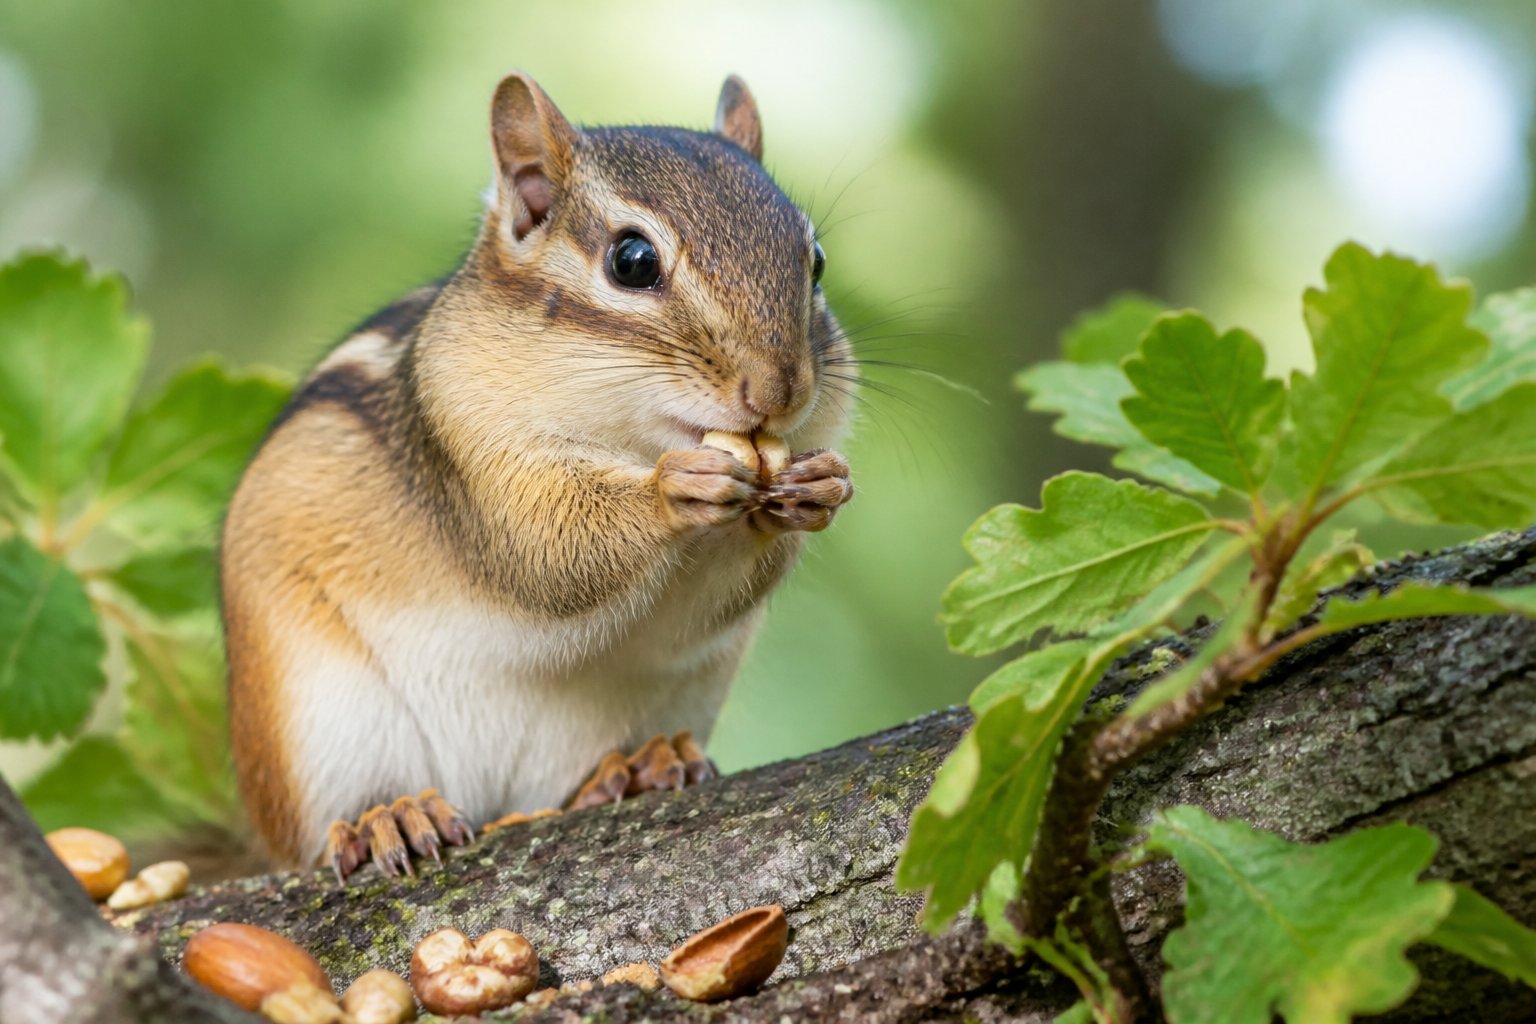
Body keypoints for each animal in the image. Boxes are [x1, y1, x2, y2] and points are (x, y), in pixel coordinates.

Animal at [220, 72, 856, 880]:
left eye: (818, 262)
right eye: (632, 261)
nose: (779, 392)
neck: (627, 439)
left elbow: (712, 601)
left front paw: (820, 488)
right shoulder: (470, 445)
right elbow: (546, 554)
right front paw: (674, 489)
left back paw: (638, 769)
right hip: (316, 726)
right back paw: (387, 817)